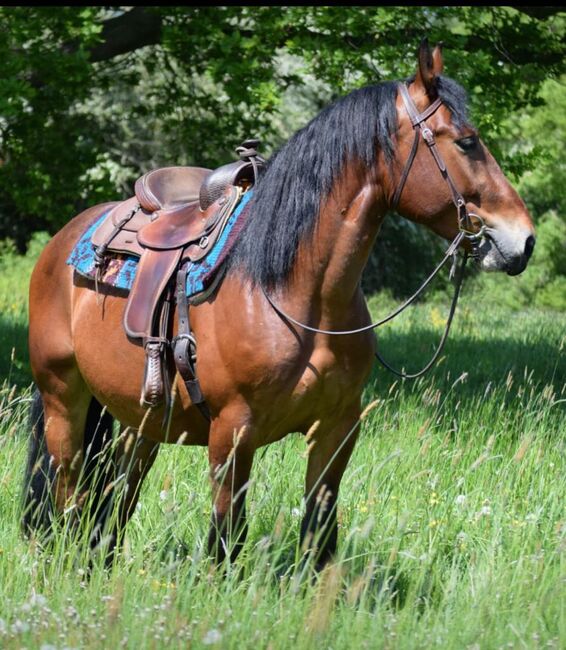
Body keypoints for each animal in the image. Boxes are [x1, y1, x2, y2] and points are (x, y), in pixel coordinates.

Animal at [23, 41, 536, 568]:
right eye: (467, 142)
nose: (524, 240)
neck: (296, 296)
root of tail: (63, 241)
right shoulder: (232, 434)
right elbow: (226, 540)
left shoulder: (337, 430)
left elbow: (319, 535)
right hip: (63, 401)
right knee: (68, 496)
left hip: (135, 421)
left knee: (115, 503)